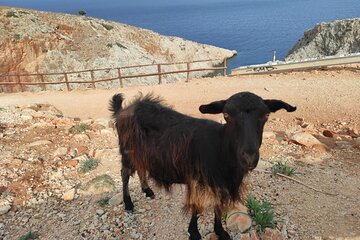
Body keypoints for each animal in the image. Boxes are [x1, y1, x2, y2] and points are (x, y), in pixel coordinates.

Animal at [109, 92, 296, 240]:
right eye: (226, 114)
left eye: (266, 115)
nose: (249, 157)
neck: (220, 147)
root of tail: (124, 109)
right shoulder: (198, 180)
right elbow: (197, 207)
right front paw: (194, 233)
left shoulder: (222, 183)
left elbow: (218, 206)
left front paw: (220, 231)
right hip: (127, 151)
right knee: (125, 174)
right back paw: (128, 203)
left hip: (140, 153)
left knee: (141, 168)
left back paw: (147, 190)